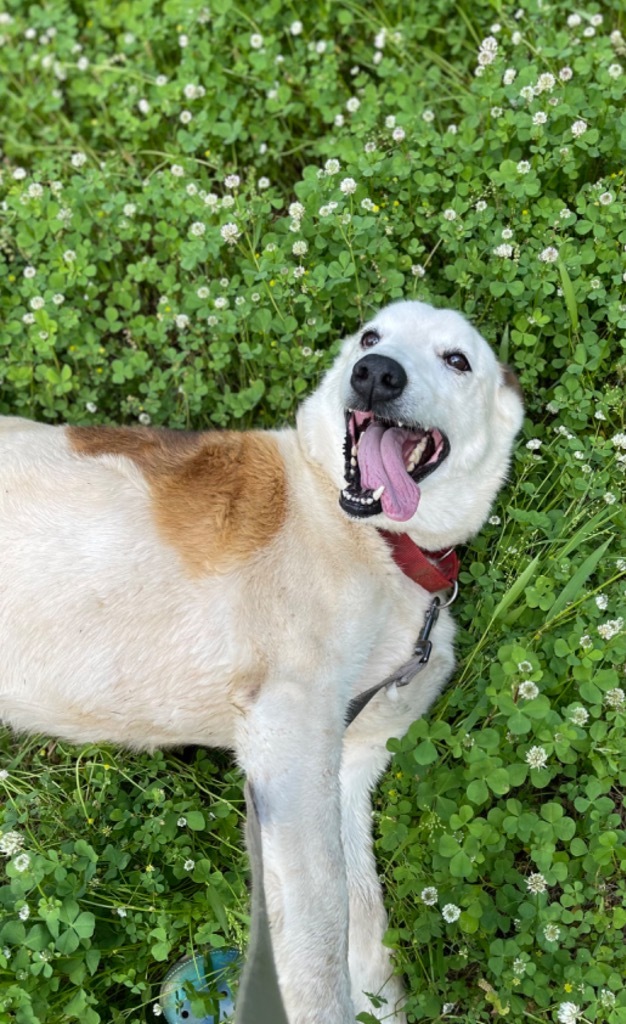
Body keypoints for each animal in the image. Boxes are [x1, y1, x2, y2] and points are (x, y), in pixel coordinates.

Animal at [0, 299, 524, 1019]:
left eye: (457, 360)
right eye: (371, 337)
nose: (376, 374)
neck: (382, 546)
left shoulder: (352, 758)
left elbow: (363, 917)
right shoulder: (288, 727)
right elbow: (320, 932)